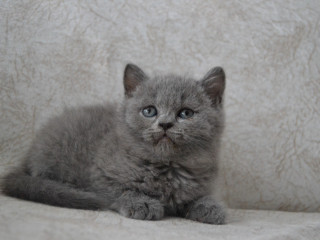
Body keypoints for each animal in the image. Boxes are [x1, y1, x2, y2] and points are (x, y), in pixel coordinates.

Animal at [2, 63, 228, 223]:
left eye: (186, 113)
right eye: (149, 111)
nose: (165, 124)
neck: (167, 167)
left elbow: (199, 196)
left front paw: (210, 207)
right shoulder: (100, 174)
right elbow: (120, 189)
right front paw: (142, 202)